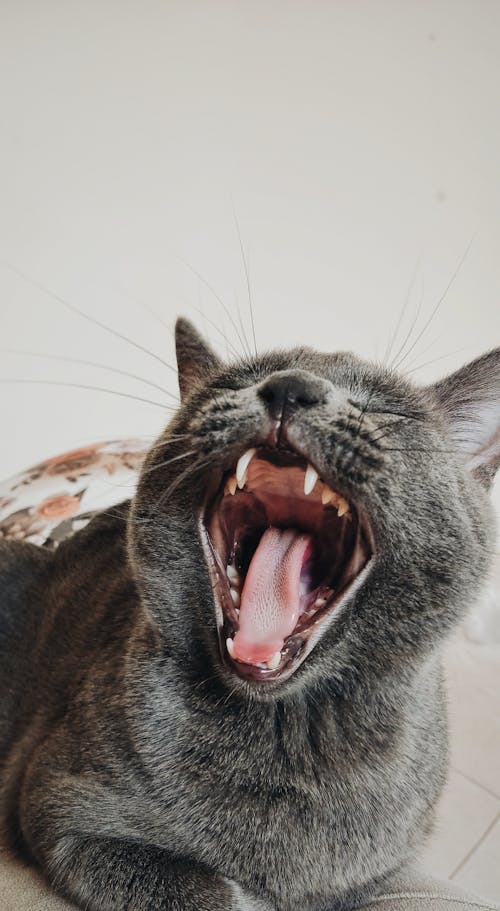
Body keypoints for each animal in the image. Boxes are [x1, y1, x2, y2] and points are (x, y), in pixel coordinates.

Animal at [0, 318, 498, 908]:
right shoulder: (63, 803)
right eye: (237, 381)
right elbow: (201, 890)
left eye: (385, 409)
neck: (286, 734)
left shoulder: (374, 875)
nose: (290, 387)